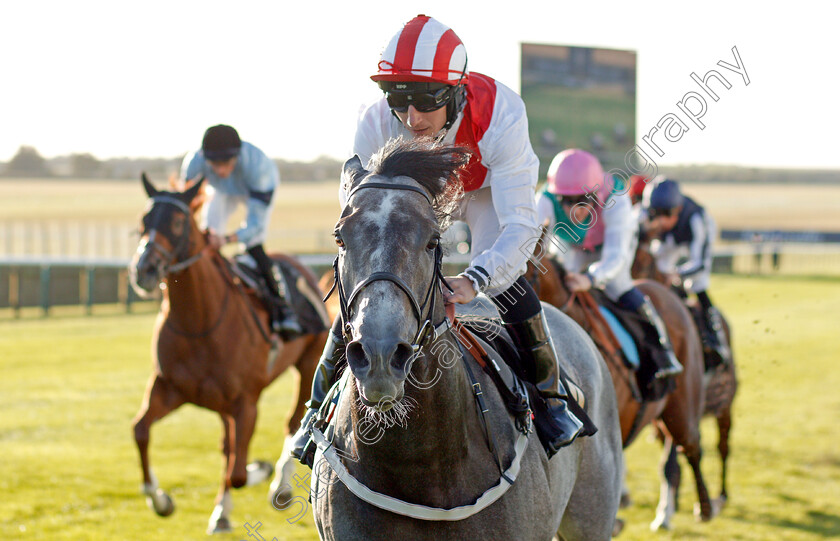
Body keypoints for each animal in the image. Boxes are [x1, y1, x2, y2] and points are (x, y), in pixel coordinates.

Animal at [130, 176, 326, 532]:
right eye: (143, 219)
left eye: (177, 222)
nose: (144, 269)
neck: (199, 321)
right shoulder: (168, 388)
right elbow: (140, 431)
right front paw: (161, 500)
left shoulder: (245, 402)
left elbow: (237, 472)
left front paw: (259, 473)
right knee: (227, 445)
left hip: (308, 364)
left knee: (293, 422)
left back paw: (280, 485)